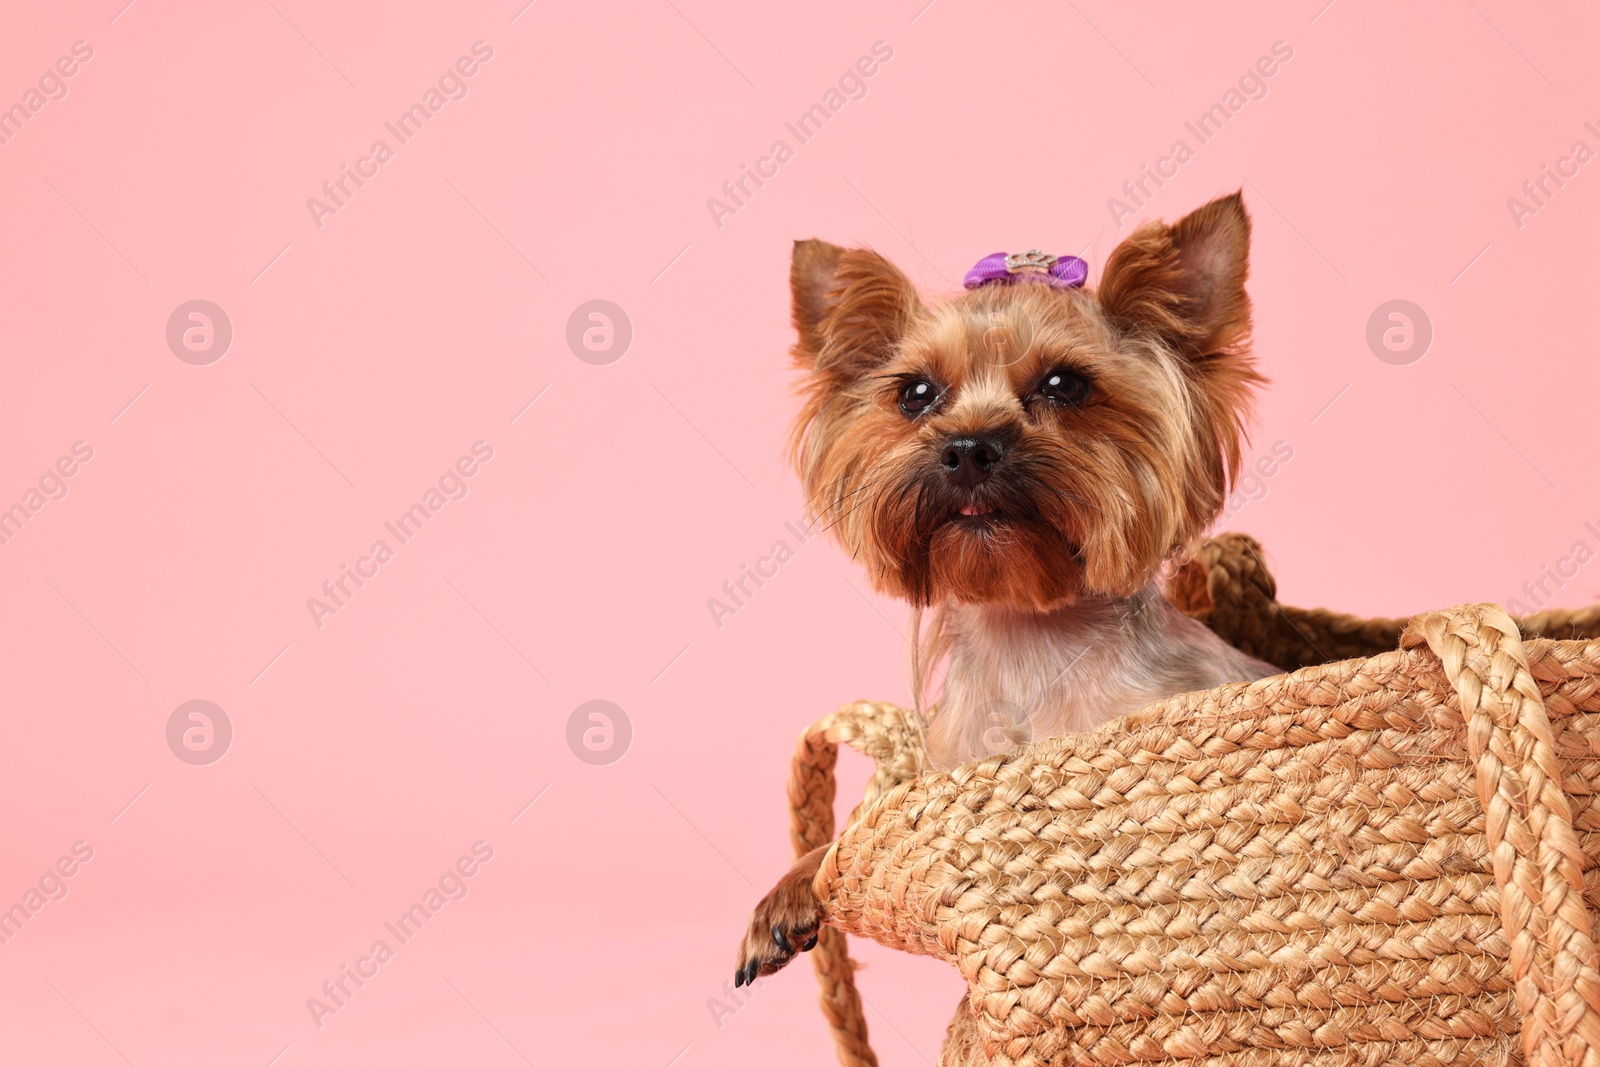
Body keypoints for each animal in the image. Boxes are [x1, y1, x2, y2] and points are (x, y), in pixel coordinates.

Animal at [736, 189, 1286, 985]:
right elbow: (847, 839)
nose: (969, 447)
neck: (1027, 634)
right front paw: (788, 889)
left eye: (1065, 384)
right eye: (916, 393)